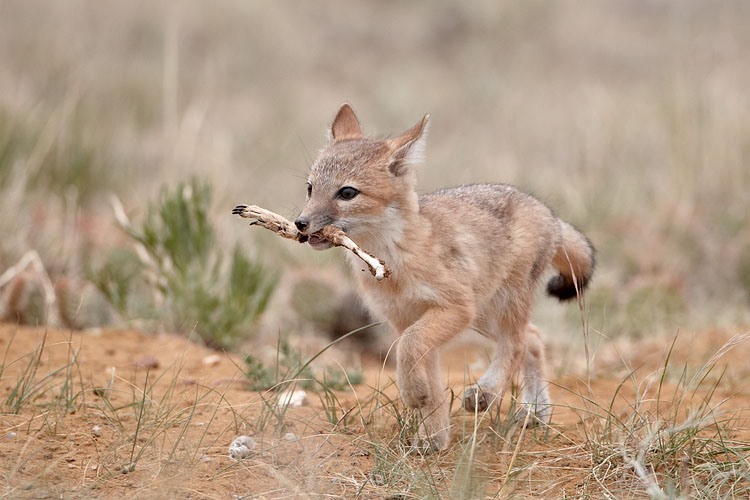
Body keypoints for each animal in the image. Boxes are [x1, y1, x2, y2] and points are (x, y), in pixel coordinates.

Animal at [294, 104, 595, 452]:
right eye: (310, 189)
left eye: (346, 192)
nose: (300, 223)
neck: (393, 262)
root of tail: (549, 214)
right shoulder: (409, 320)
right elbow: (430, 381)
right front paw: (433, 437)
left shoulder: (450, 309)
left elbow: (407, 350)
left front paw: (413, 394)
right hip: (483, 317)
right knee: (532, 336)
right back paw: (536, 410)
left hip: (491, 308)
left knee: (518, 343)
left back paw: (487, 392)